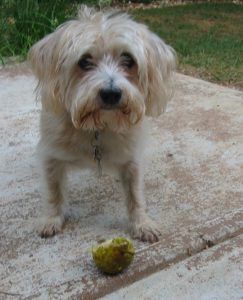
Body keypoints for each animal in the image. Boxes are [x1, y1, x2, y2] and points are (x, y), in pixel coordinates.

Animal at [28, 5, 176, 243]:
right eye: (84, 61)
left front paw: (141, 223)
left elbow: (135, 195)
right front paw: (52, 219)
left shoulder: (132, 160)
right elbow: (53, 191)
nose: (111, 93)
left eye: (128, 60)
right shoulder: (51, 156)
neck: (97, 128)